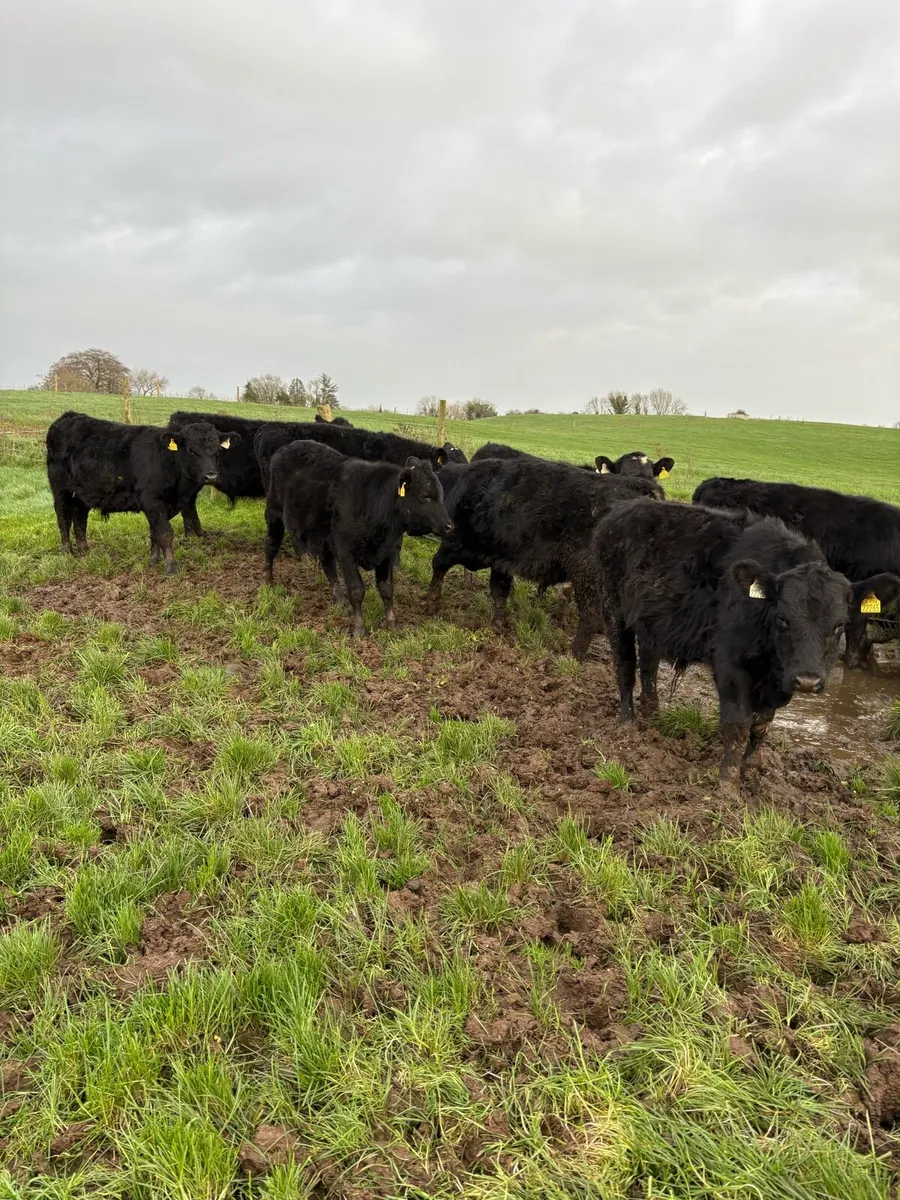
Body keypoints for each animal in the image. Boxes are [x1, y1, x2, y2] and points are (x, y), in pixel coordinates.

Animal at [47, 412, 240, 575]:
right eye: (192, 450)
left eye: (217, 450)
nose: (211, 475)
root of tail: (70, 416)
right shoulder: (153, 501)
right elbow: (165, 534)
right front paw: (171, 567)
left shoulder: (161, 506)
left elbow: (155, 533)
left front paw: (154, 560)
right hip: (60, 489)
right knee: (63, 517)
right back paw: (66, 551)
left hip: (82, 493)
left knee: (80, 518)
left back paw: (84, 550)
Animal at [264, 440, 453, 636]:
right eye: (425, 495)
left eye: (441, 493)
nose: (449, 526)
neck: (375, 502)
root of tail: (285, 448)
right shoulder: (345, 552)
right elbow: (356, 590)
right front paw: (359, 628)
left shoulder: (387, 552)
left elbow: (387, 588)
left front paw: (392, 623)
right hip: (275, 513)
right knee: (271, 546)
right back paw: (268, 580)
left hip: (322, 535)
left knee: (328, 565)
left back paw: (338, 598)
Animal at [423, 457, 663, 648]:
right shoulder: (501, 560)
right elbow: (499, 591)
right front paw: (499, 624)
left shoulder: (454, 543)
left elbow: (437, 564)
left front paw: (430, 604)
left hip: (587, 575)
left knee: (590, 616)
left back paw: (574, 653)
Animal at [587, 499, 899, 794]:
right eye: (783, 618)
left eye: (838, 625)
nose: (808, 681)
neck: (772, 662)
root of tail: (624, 508)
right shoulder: (729, 665)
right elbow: (738, 723)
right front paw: (728, 783)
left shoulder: (778, 682)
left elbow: (761, 725)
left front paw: (751, 767)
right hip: (614, 610)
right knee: (624, 664)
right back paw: (629, 723)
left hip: (650, 622)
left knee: (648, 665)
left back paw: (652, 713)